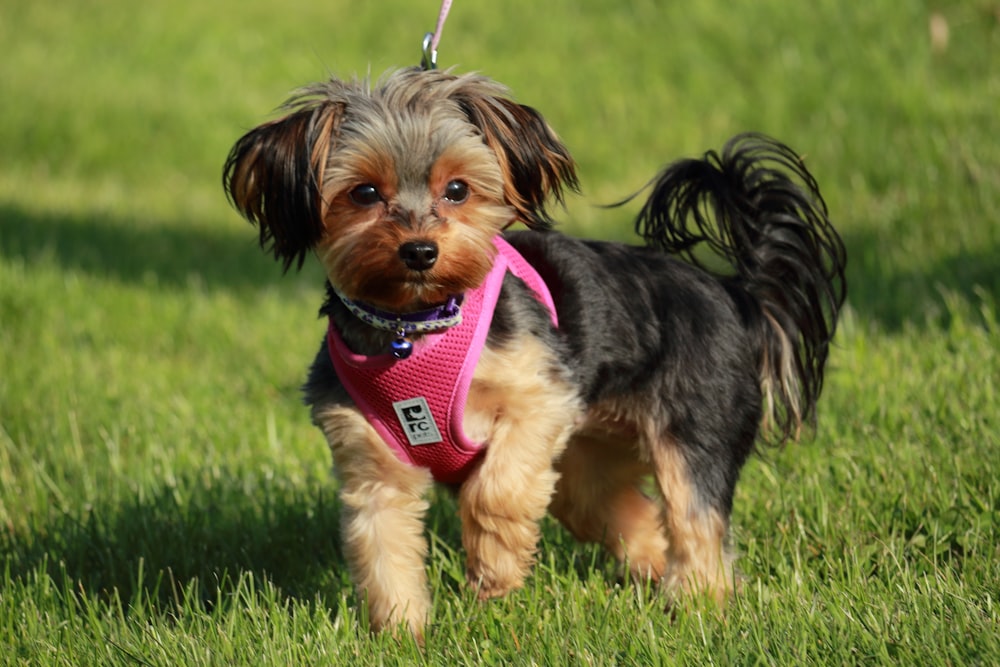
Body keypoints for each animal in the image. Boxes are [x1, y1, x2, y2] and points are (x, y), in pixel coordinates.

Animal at [223, 66, 848, 636]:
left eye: (457, 190)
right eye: (364, 193)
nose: (420, 250)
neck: (415, 329)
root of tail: (734, 293)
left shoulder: (541, 397)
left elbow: (495, 492)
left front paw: (495, 571)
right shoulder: (371, 460)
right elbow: (382, 550)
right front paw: (402, 635)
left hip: (693, 429)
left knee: (696, 522)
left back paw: (693, 604)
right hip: (586, 463)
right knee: (628, 513)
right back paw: (653, 580)